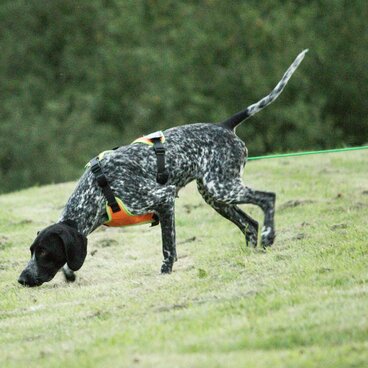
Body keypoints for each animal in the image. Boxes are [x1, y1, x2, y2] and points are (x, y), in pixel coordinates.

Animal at [18, 49, 310, 286]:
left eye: (44, 252)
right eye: (32, 250)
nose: (22, 279)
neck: (98, 192)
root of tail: (224, 125)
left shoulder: (164, 200)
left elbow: (168, 247)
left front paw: (165, 272)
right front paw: (69, 274)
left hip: (223, 188)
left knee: (267, 198)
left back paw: (270, 236)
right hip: (216, 196)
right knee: (250, 225)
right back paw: (253, 252)